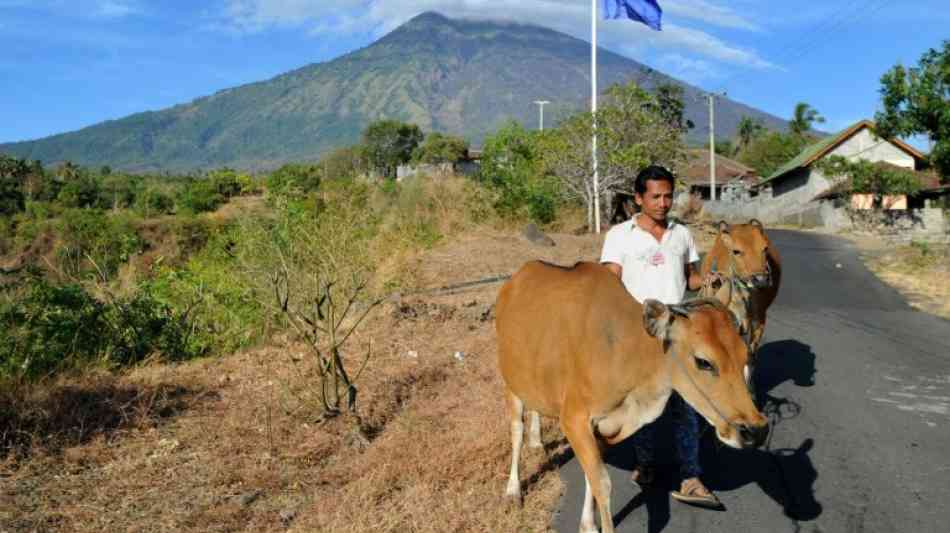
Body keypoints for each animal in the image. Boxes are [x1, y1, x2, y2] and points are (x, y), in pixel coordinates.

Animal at [494, 262, 768, 532]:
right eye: (703, 361)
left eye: (744, 354)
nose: (756, 430)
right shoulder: (574, 419)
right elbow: (602, 483)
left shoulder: (600, 428)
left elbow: (592, 477)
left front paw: (588, 524)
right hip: (510, 381)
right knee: (516, 431)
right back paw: (513, 490)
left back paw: (536, 440)